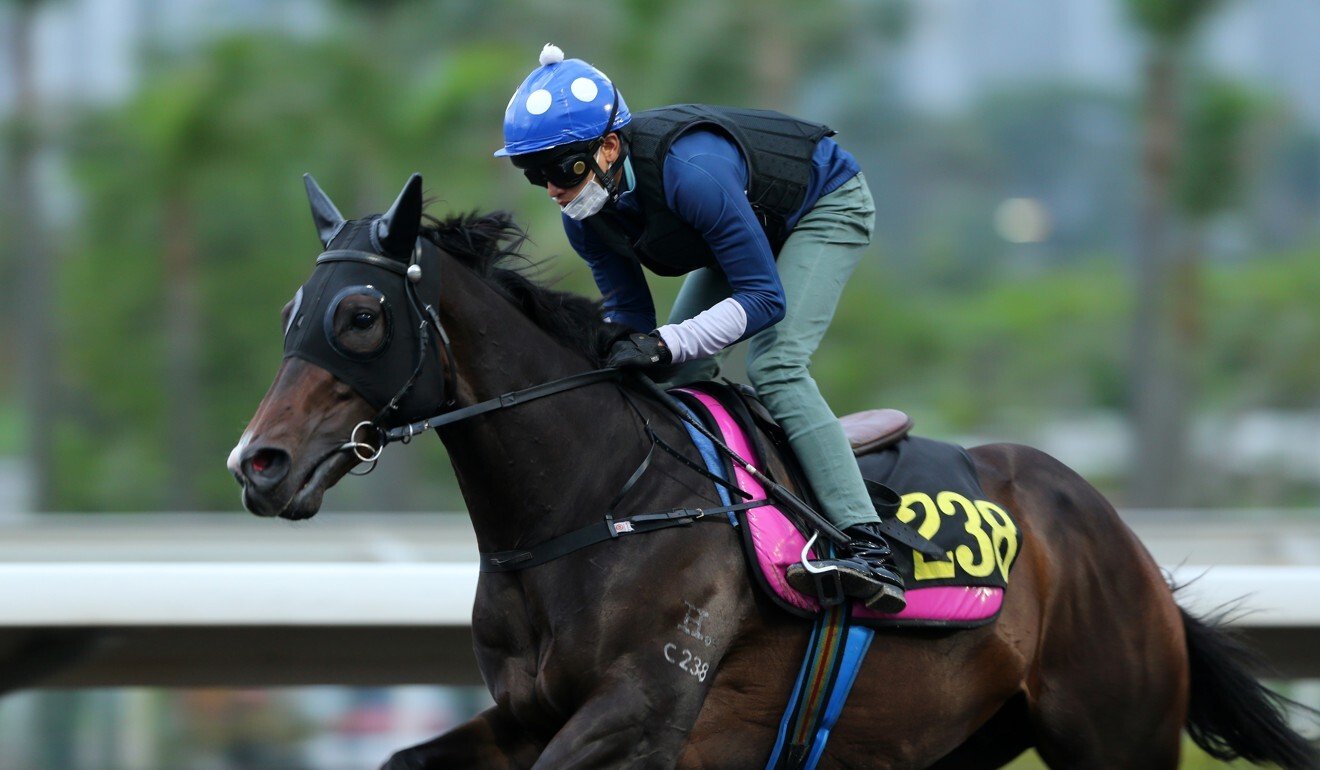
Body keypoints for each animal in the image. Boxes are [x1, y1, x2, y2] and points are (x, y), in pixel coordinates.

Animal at [227, 174, 1309, 770]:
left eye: (360, 316)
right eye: (288, 311)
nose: (258, 464)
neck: (595, 501)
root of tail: (1123, 542)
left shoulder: (641, 716)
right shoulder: (528, 714)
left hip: (1117, 731)